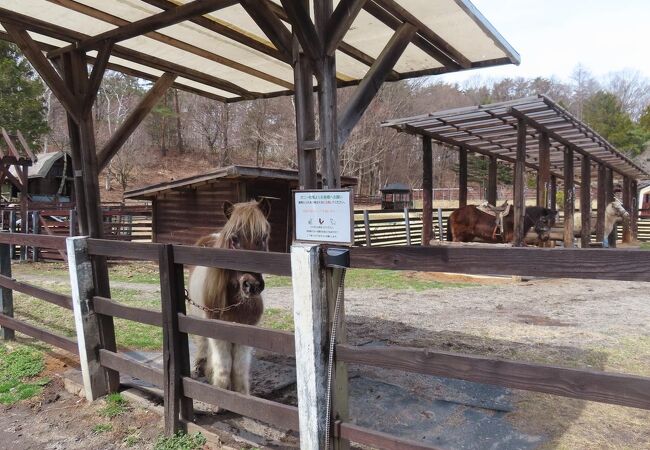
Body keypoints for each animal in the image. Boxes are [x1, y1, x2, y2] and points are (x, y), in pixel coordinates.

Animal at [186, 200, 270, 394]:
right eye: (234, 238)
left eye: (263, 237)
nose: (252, 285)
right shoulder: (217, 330)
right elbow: (224, 368)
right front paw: (220, 393)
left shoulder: (245, 330)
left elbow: (238, 369)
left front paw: (241, 394)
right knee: (202, 343)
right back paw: (200, 367)